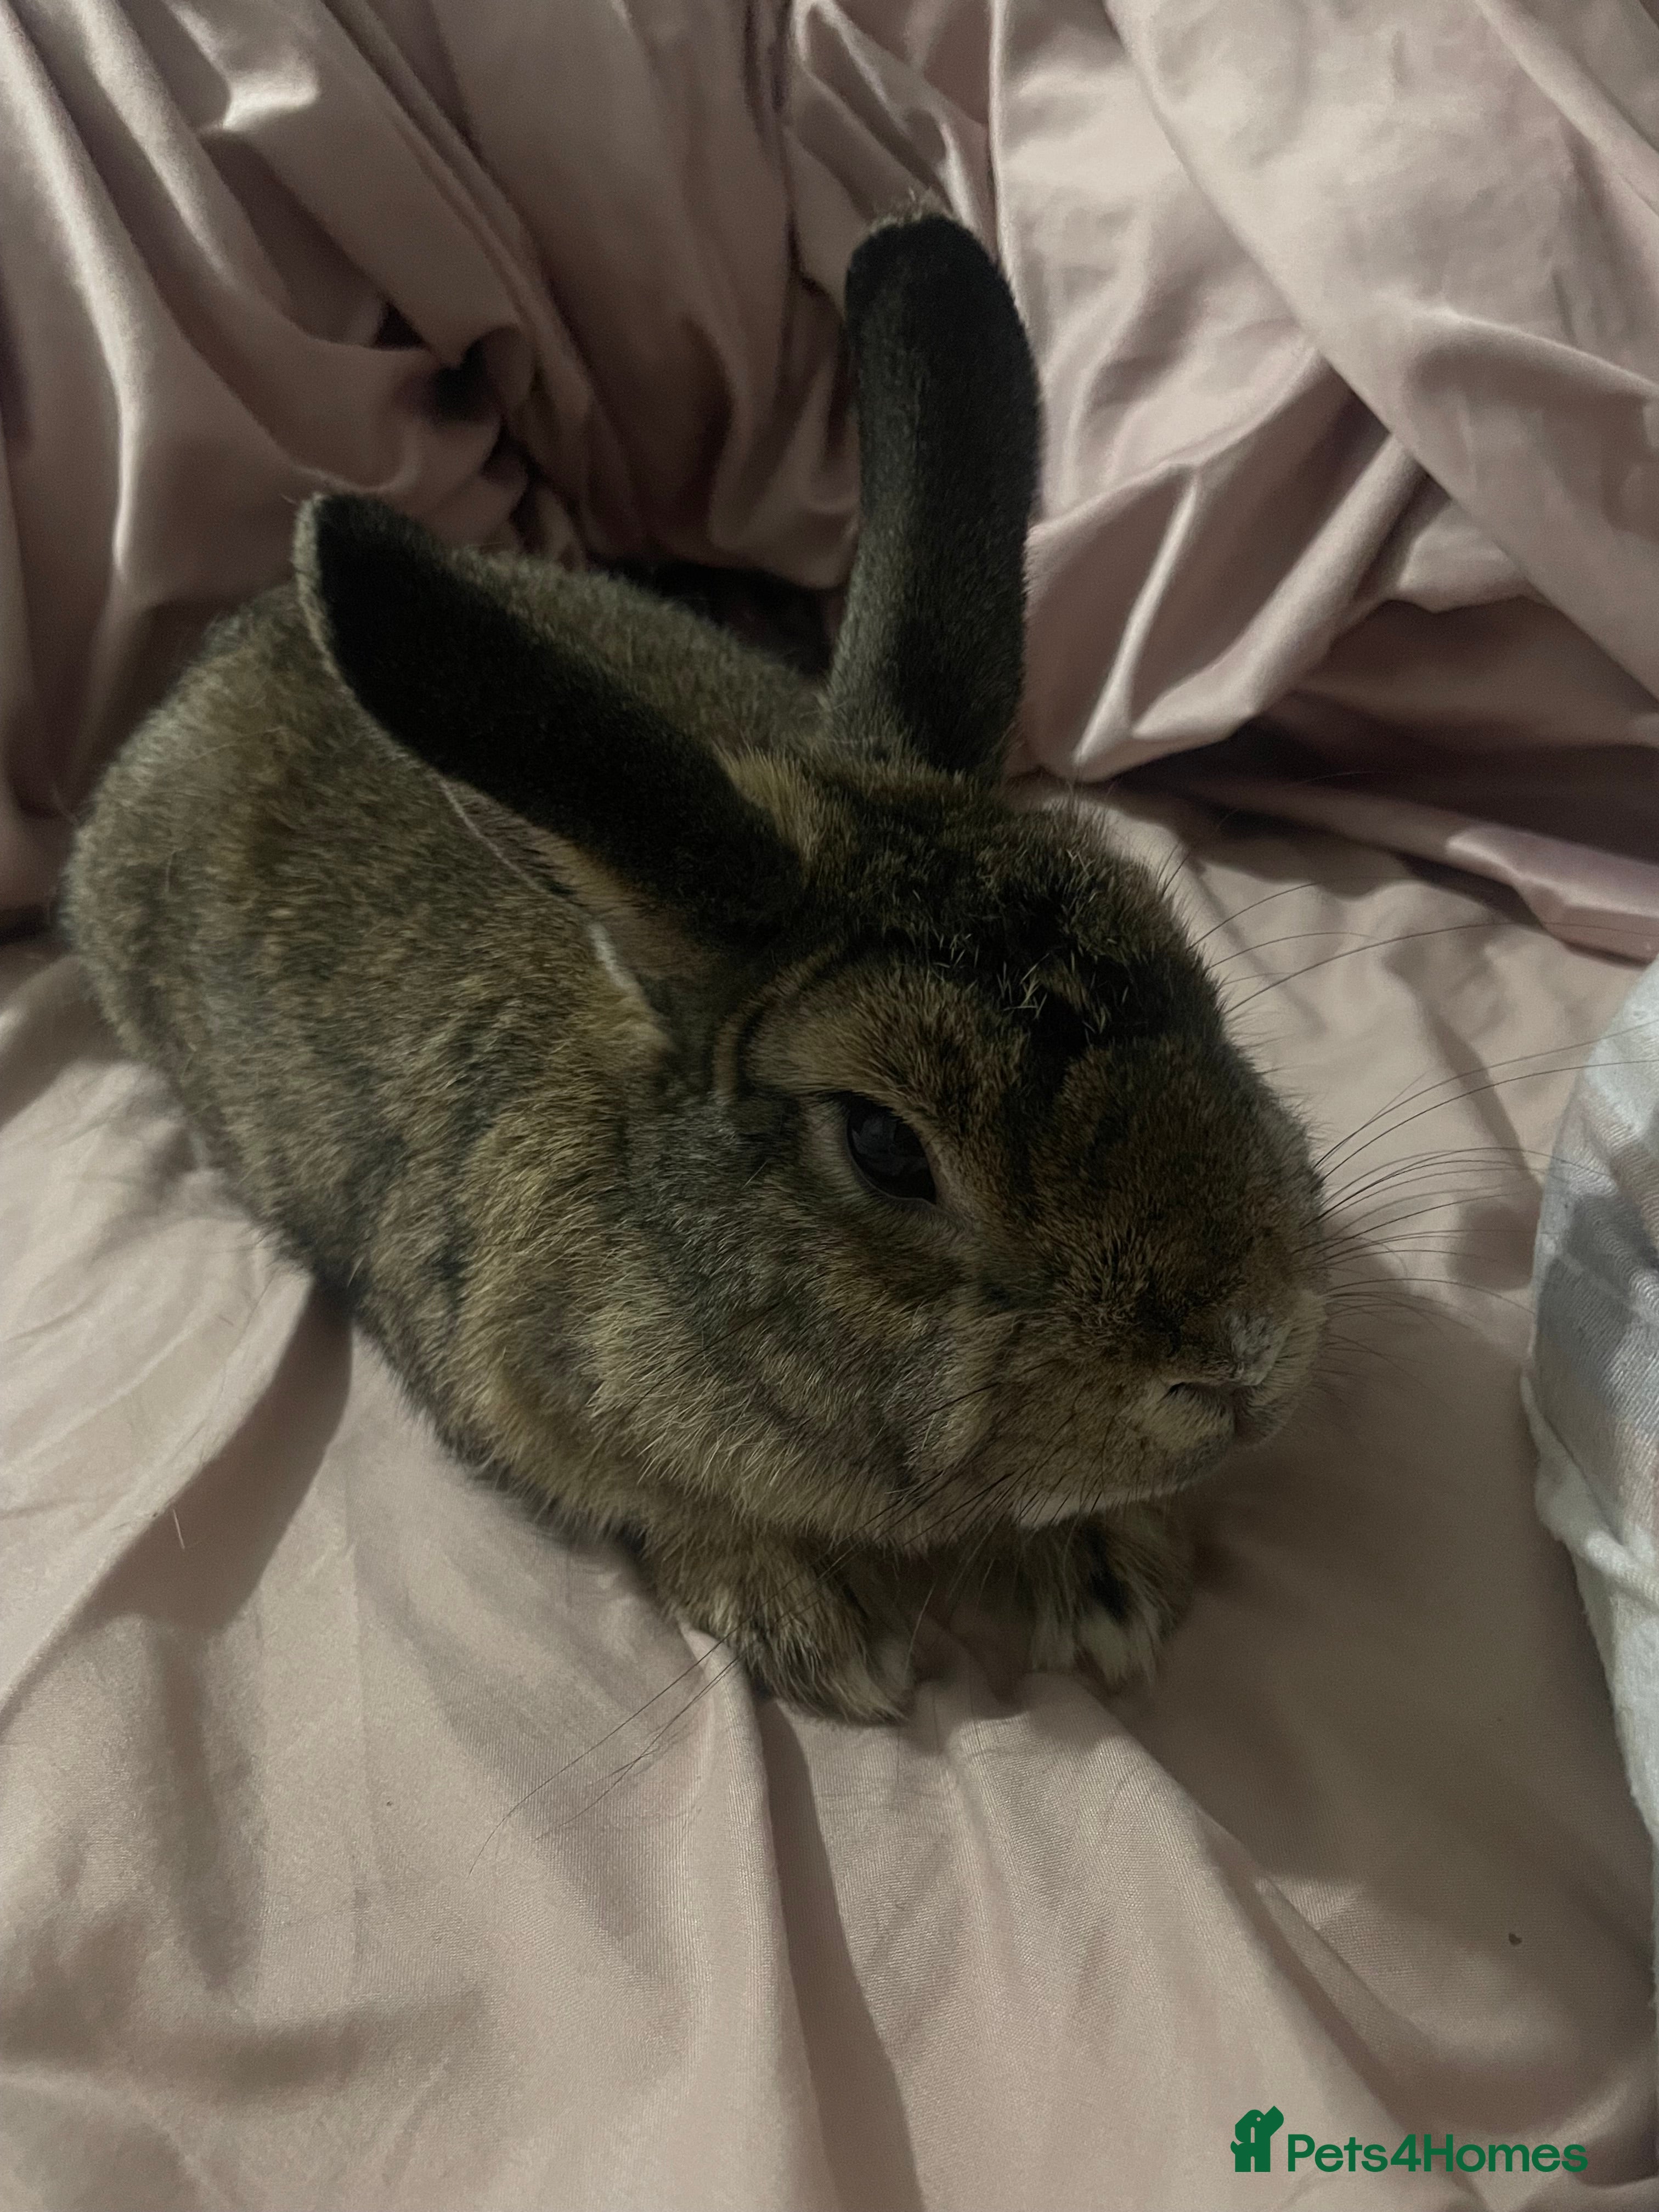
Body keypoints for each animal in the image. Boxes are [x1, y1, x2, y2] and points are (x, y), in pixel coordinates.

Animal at [63, 212, 1327, 1723]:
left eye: (1189, 970)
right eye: (884, 1150)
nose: (1244, 1360)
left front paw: (1107, 1575)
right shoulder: (510, 1394)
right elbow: (660, 1510)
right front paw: (818, 1625)